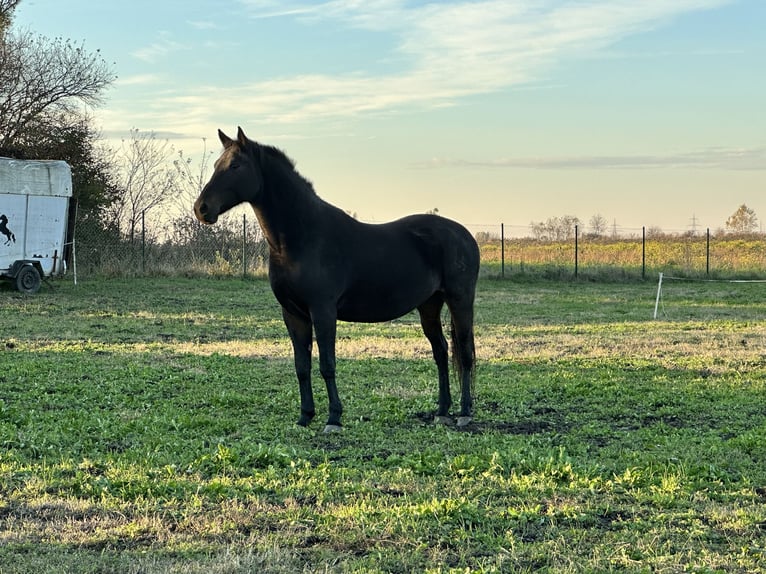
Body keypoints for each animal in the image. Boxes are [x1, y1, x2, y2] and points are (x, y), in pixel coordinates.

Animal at [194, 127, 480, 432]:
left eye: (235, 166)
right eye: (216, 165)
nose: (202, 209)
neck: (302, 237)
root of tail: (464, 235)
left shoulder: (323, 312)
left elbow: (327, 364)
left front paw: (334, 418)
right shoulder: (293, 314)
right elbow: (302, 366)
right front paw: (305, 416)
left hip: (460, 300)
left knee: (464, 353)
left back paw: (464, 412)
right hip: (429, 304)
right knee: (441, 352)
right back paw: (441, 411)